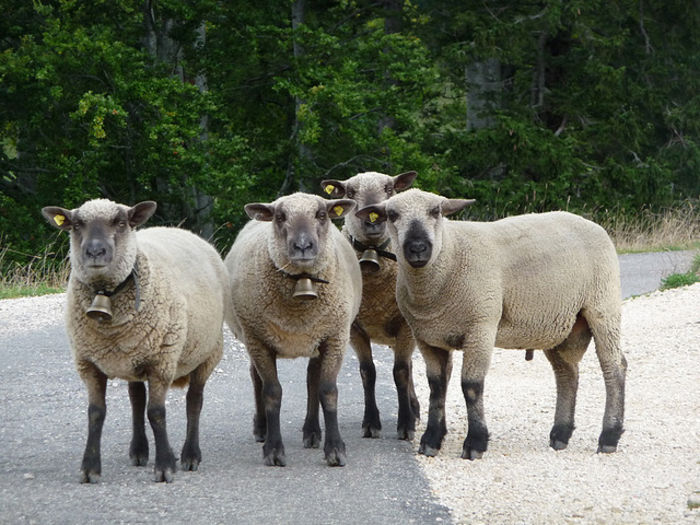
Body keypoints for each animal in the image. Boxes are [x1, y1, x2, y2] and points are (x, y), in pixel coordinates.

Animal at [40, 199, 230, 482]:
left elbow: (157, 413)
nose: (95, 252)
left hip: (207, 352)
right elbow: (96, 413)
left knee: (194, 401)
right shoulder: (88, 363)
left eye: (121, 222)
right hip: (133, 357)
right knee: (137, 399)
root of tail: (179, 229)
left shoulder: (162, 361)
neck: (106, 296)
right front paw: (90, 468)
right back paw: (139, 450)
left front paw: (164, 467)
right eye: (76, 225)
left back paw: (190, 455)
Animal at [224, 192, 364, 466]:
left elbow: (327, 390)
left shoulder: (335, 336)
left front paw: (335, 449)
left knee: (311, 380)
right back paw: (262, 428)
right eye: (279, 216)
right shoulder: (258, 339)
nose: (302, 246)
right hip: (253, 336)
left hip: (315, 337)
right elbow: (272, 392)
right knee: (256, 378)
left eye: (322, 214)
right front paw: (273, 450)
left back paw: (312, 432)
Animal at [322, 171, 422, 438]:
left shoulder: (405, 326)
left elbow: (400, 372)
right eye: (350, 192)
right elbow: (368, 372)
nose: (372, 221)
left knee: (408, 366)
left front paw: (405, 424)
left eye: (388, 188)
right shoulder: (354, 329)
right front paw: (370, 423)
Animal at [358, 189, 628, 458]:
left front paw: (475, 443)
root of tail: (591, 224)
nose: (417, 248)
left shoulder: (480, 327)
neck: (450, 255)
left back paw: (609, 436)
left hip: (603, 306)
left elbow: (471, 386)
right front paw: (431, 439)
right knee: (566, 373)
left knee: (614, 366)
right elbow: (437, 387)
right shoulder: (427, 337)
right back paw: (560, 435)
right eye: (392, 215)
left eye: (436, 211)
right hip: (558, 325)